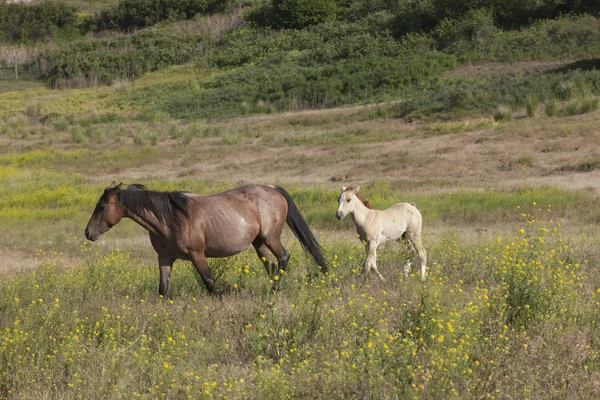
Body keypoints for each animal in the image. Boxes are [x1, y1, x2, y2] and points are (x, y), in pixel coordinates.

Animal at [85, 183, 328, 296]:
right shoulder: (164, 258)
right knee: (271, 265)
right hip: (258, 243)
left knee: (284, 258)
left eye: (102, 207)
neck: (170, 219)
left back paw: (273, 291)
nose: (88, 233)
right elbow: (163, 288)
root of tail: (272, 188)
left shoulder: (197, 255)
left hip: (271, 238)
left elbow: (210, 283)